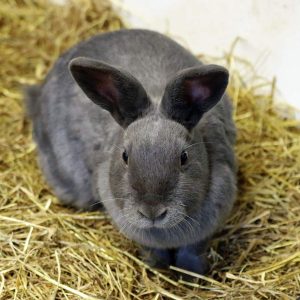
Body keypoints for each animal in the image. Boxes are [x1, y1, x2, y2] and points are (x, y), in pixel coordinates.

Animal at [25, 29, 237, 278]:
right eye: (125, 156)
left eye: (184, 157)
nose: (152, 211)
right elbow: (152, 249)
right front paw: (156, 266)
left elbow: (192, 250)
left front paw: (192, 275)